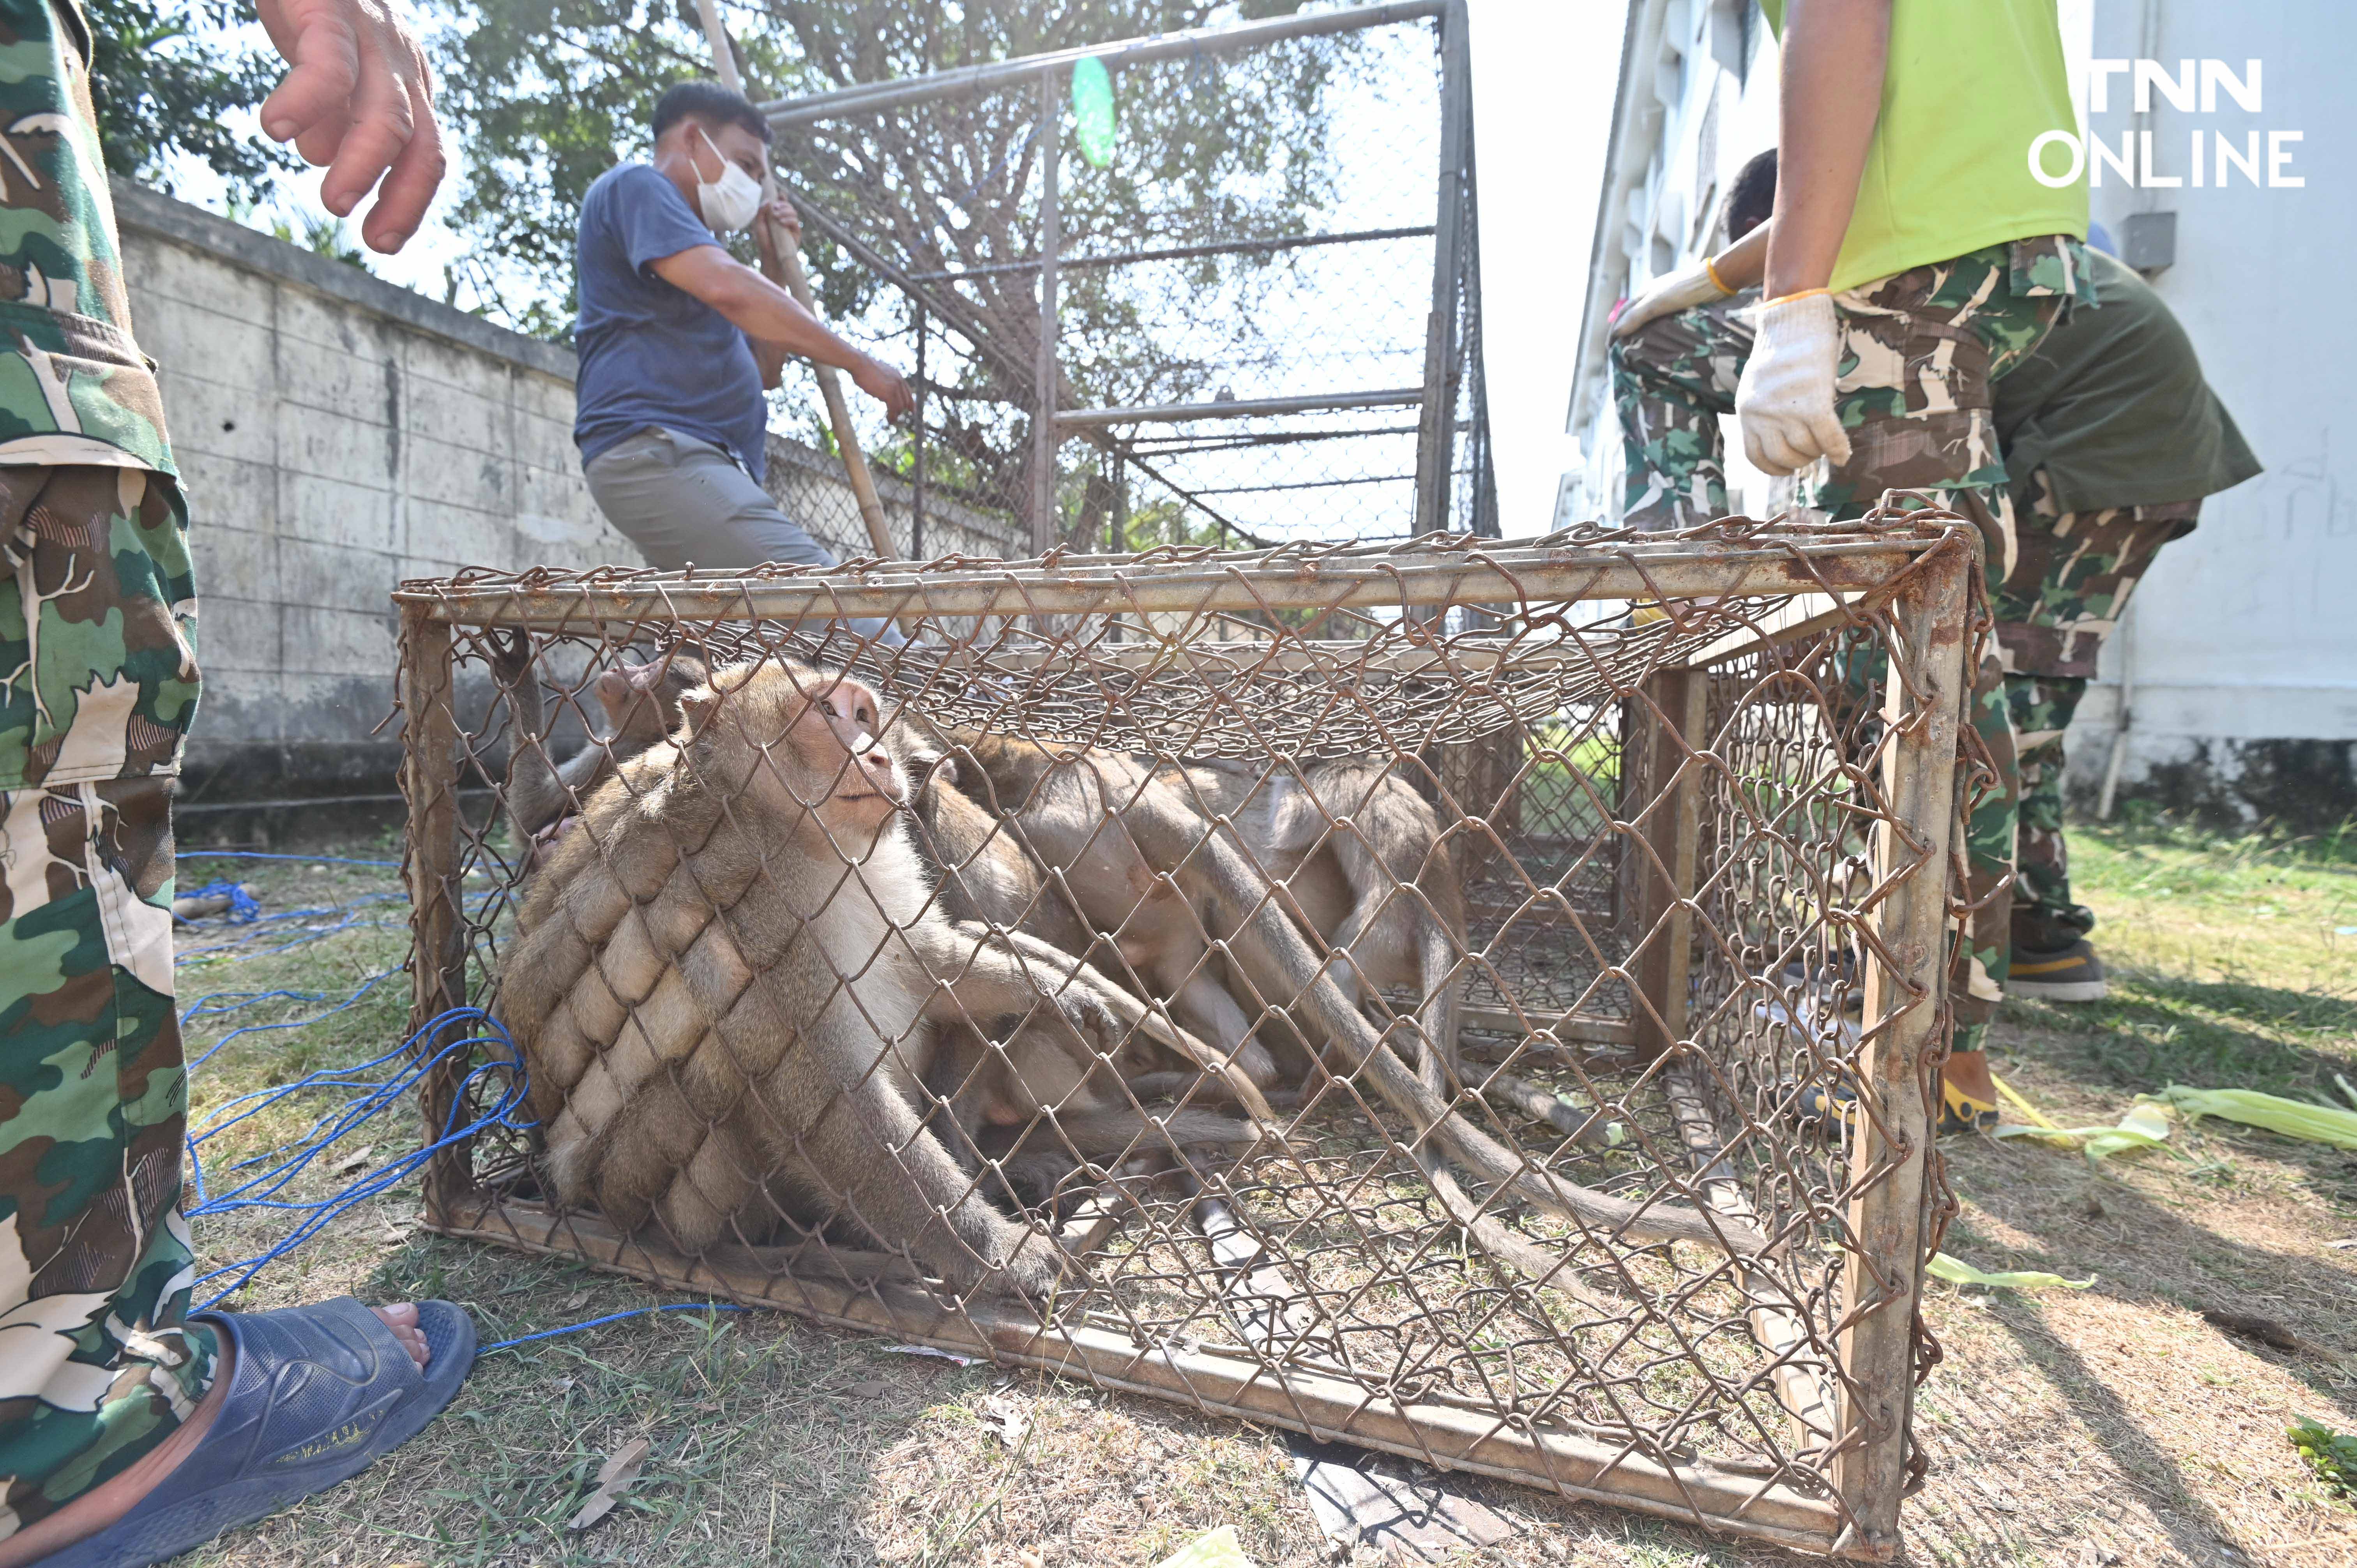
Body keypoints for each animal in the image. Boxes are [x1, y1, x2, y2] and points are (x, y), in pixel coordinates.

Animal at [497, 655, 1235, 1292]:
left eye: (863, 712)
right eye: (827, 714)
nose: (877, 754)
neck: (772, 815)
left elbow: (926, 959)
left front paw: (1057, 992)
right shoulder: (752, 894)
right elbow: (834, 1104)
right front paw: (1007, 1256)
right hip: (640, 1187)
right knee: (709, 1073)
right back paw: (752, 1251)